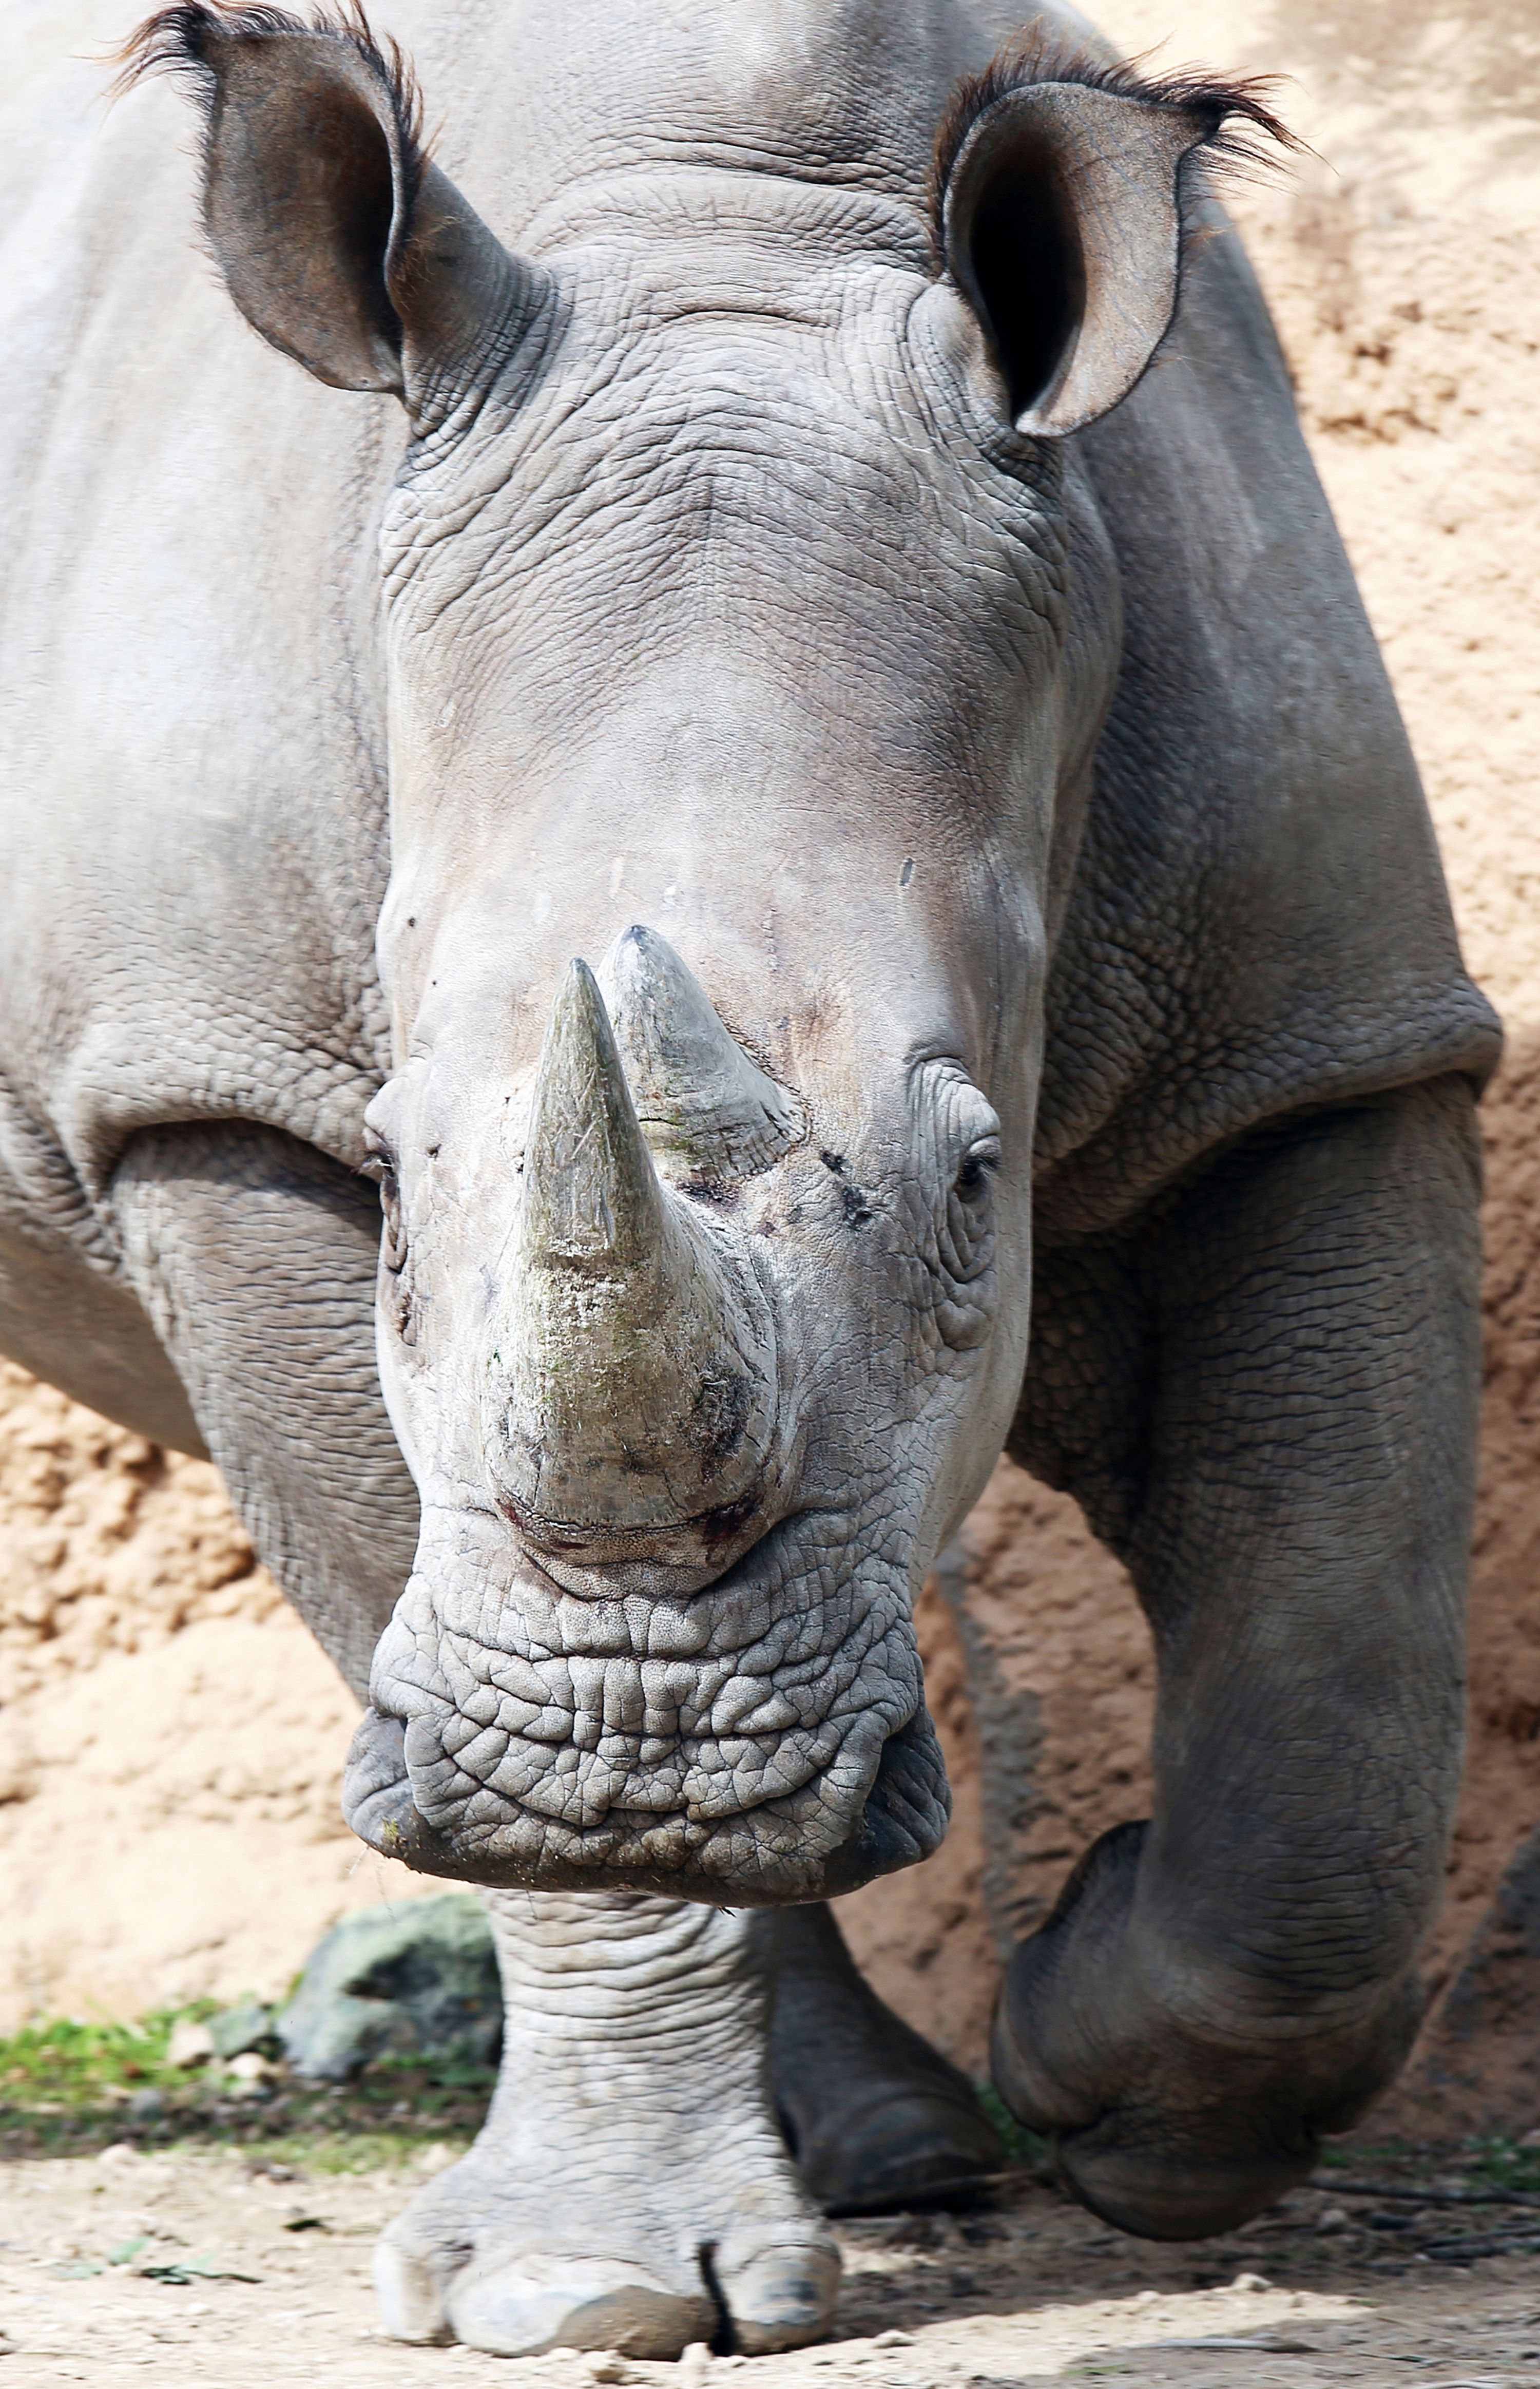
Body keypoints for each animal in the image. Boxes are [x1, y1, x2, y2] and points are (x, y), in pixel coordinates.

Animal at [0, 0, 1499, 2360]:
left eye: (976, 1185)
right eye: (400, 1194)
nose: (642, 1744)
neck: (714, 248)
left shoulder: (1320, 1044)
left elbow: (1334, 1703)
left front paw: (1117, 2084)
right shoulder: (208, 1087)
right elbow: (396, 1542)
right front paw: (587, 2288)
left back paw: (909, 2149)